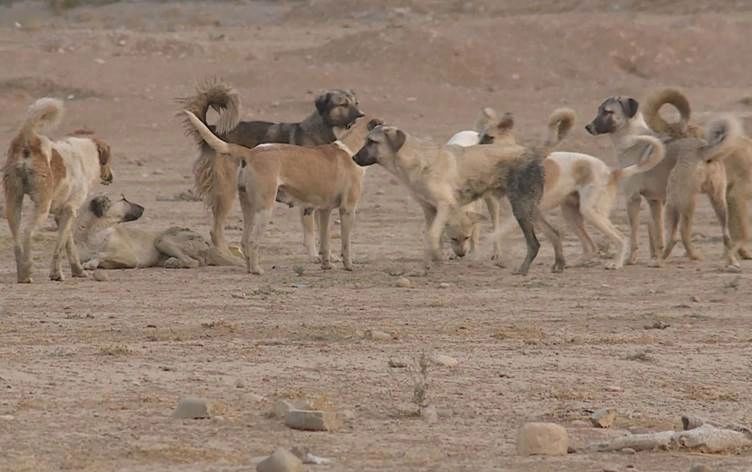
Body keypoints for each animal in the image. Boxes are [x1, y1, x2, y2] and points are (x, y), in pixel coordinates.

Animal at [2, 95, 113, 280]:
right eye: (109, 160)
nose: (111, 177)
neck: (86, 155)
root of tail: (30, 137)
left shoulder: (61, 213)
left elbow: (69, 245)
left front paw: (77, 271)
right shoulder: (70, 209)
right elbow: (59, 246)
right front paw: (56, 273)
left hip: (13, 203)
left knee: (17, 239)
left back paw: (22, 274)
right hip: (42, 206)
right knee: (27, 233)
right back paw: (28, 270)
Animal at [350, 109, 572, 274]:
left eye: (372, 142)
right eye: (365, 140)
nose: (353, 158)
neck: (416, 159)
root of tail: (532, 153)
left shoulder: (444, 205)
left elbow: (433, 237)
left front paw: (437, 259)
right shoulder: (429, 210)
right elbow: (430, 238)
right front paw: (425, 267)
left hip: (520, 207)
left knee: (534, 243)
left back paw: (523, 269)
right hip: (529, 208)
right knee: (554, 232)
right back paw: (558, 264)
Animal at [580, 94, 740, 268]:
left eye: (608, 111)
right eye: (599, 110)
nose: (588, 127)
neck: (632, 139)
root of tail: (703, 150)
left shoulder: (633, 199)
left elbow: (635, 234)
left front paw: (631, 259)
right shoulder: (655, 202)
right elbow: (657, 232)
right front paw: (654, 253)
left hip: (676, 199)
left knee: (678, 235)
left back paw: (663, 259)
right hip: (717, 200)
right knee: (725, 235)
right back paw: (730, 262)